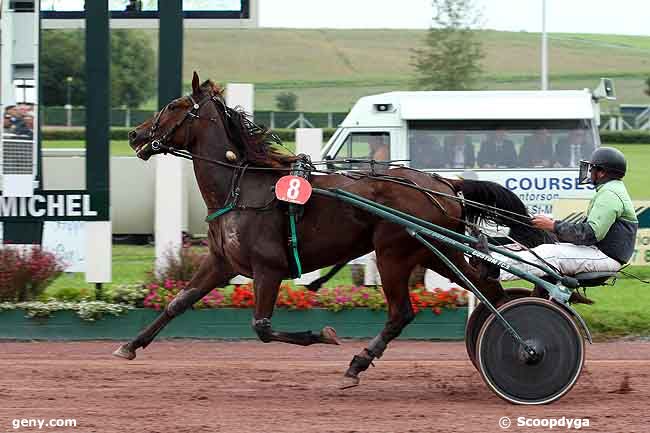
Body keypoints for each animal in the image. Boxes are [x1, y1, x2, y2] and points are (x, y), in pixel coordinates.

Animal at [115, 72, 548, 386]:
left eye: (174, 105)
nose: (135, 134)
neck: (242, 186)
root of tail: (444, 183)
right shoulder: (222, 263)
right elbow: (178, 302)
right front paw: (130, 345)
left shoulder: (268, 269)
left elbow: (262, 327)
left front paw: (322, 335)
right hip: (436, 251)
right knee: (488, 287)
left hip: (393, 254)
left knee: (401, 313)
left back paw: (359, 363)